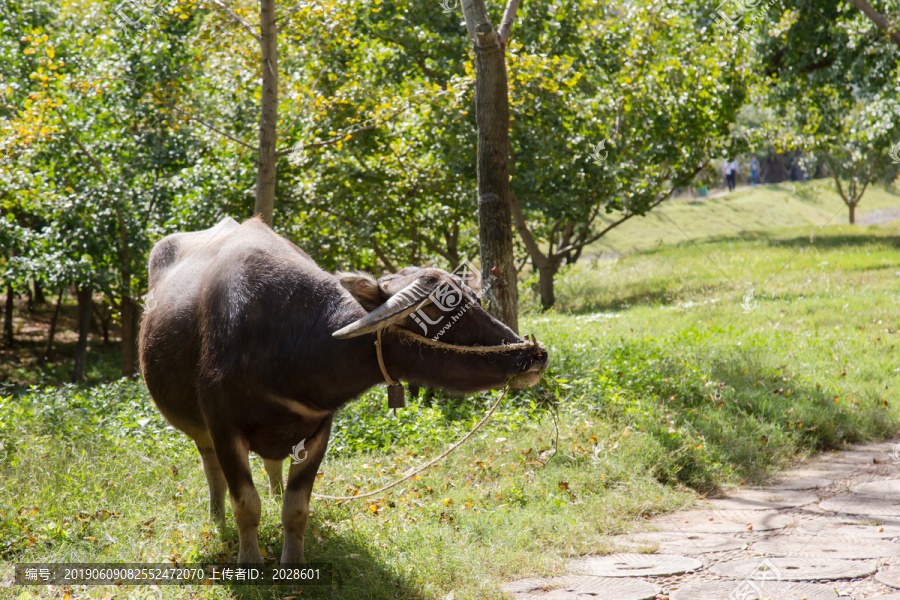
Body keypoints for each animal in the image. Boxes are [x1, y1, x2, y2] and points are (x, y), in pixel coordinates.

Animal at [140, 218, 548, 564]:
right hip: (200, 430)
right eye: (438, 310)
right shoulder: (224, 428)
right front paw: (250, 561)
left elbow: (296, 508)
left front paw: (293, 563)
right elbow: (246, 505)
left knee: (272, 466)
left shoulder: (319, 430)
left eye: (475, 299)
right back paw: (216, 519)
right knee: (212, 471)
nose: (534, 355)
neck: (286, 343)